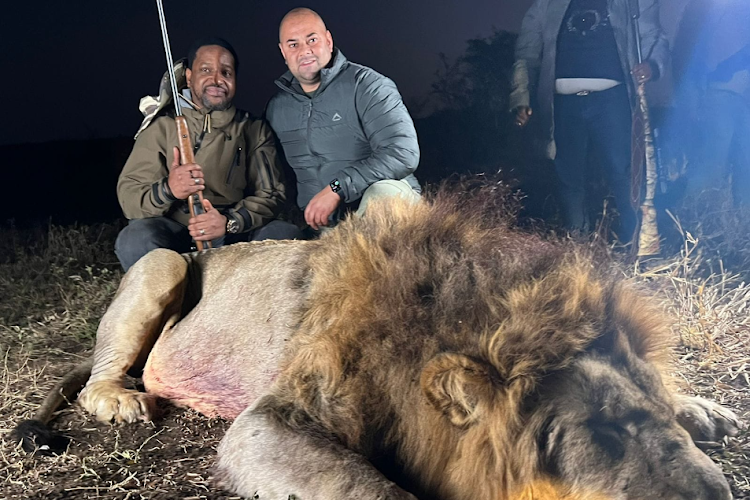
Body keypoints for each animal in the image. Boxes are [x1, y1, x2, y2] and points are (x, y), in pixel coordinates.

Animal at [13, 189, 748, 498]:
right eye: (599, 433)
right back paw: (122, 398)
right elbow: (370, 487)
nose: (714, 497)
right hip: (166, 264)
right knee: (107, 369)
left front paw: (703, 410)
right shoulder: (274, 420)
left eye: (653, 417)